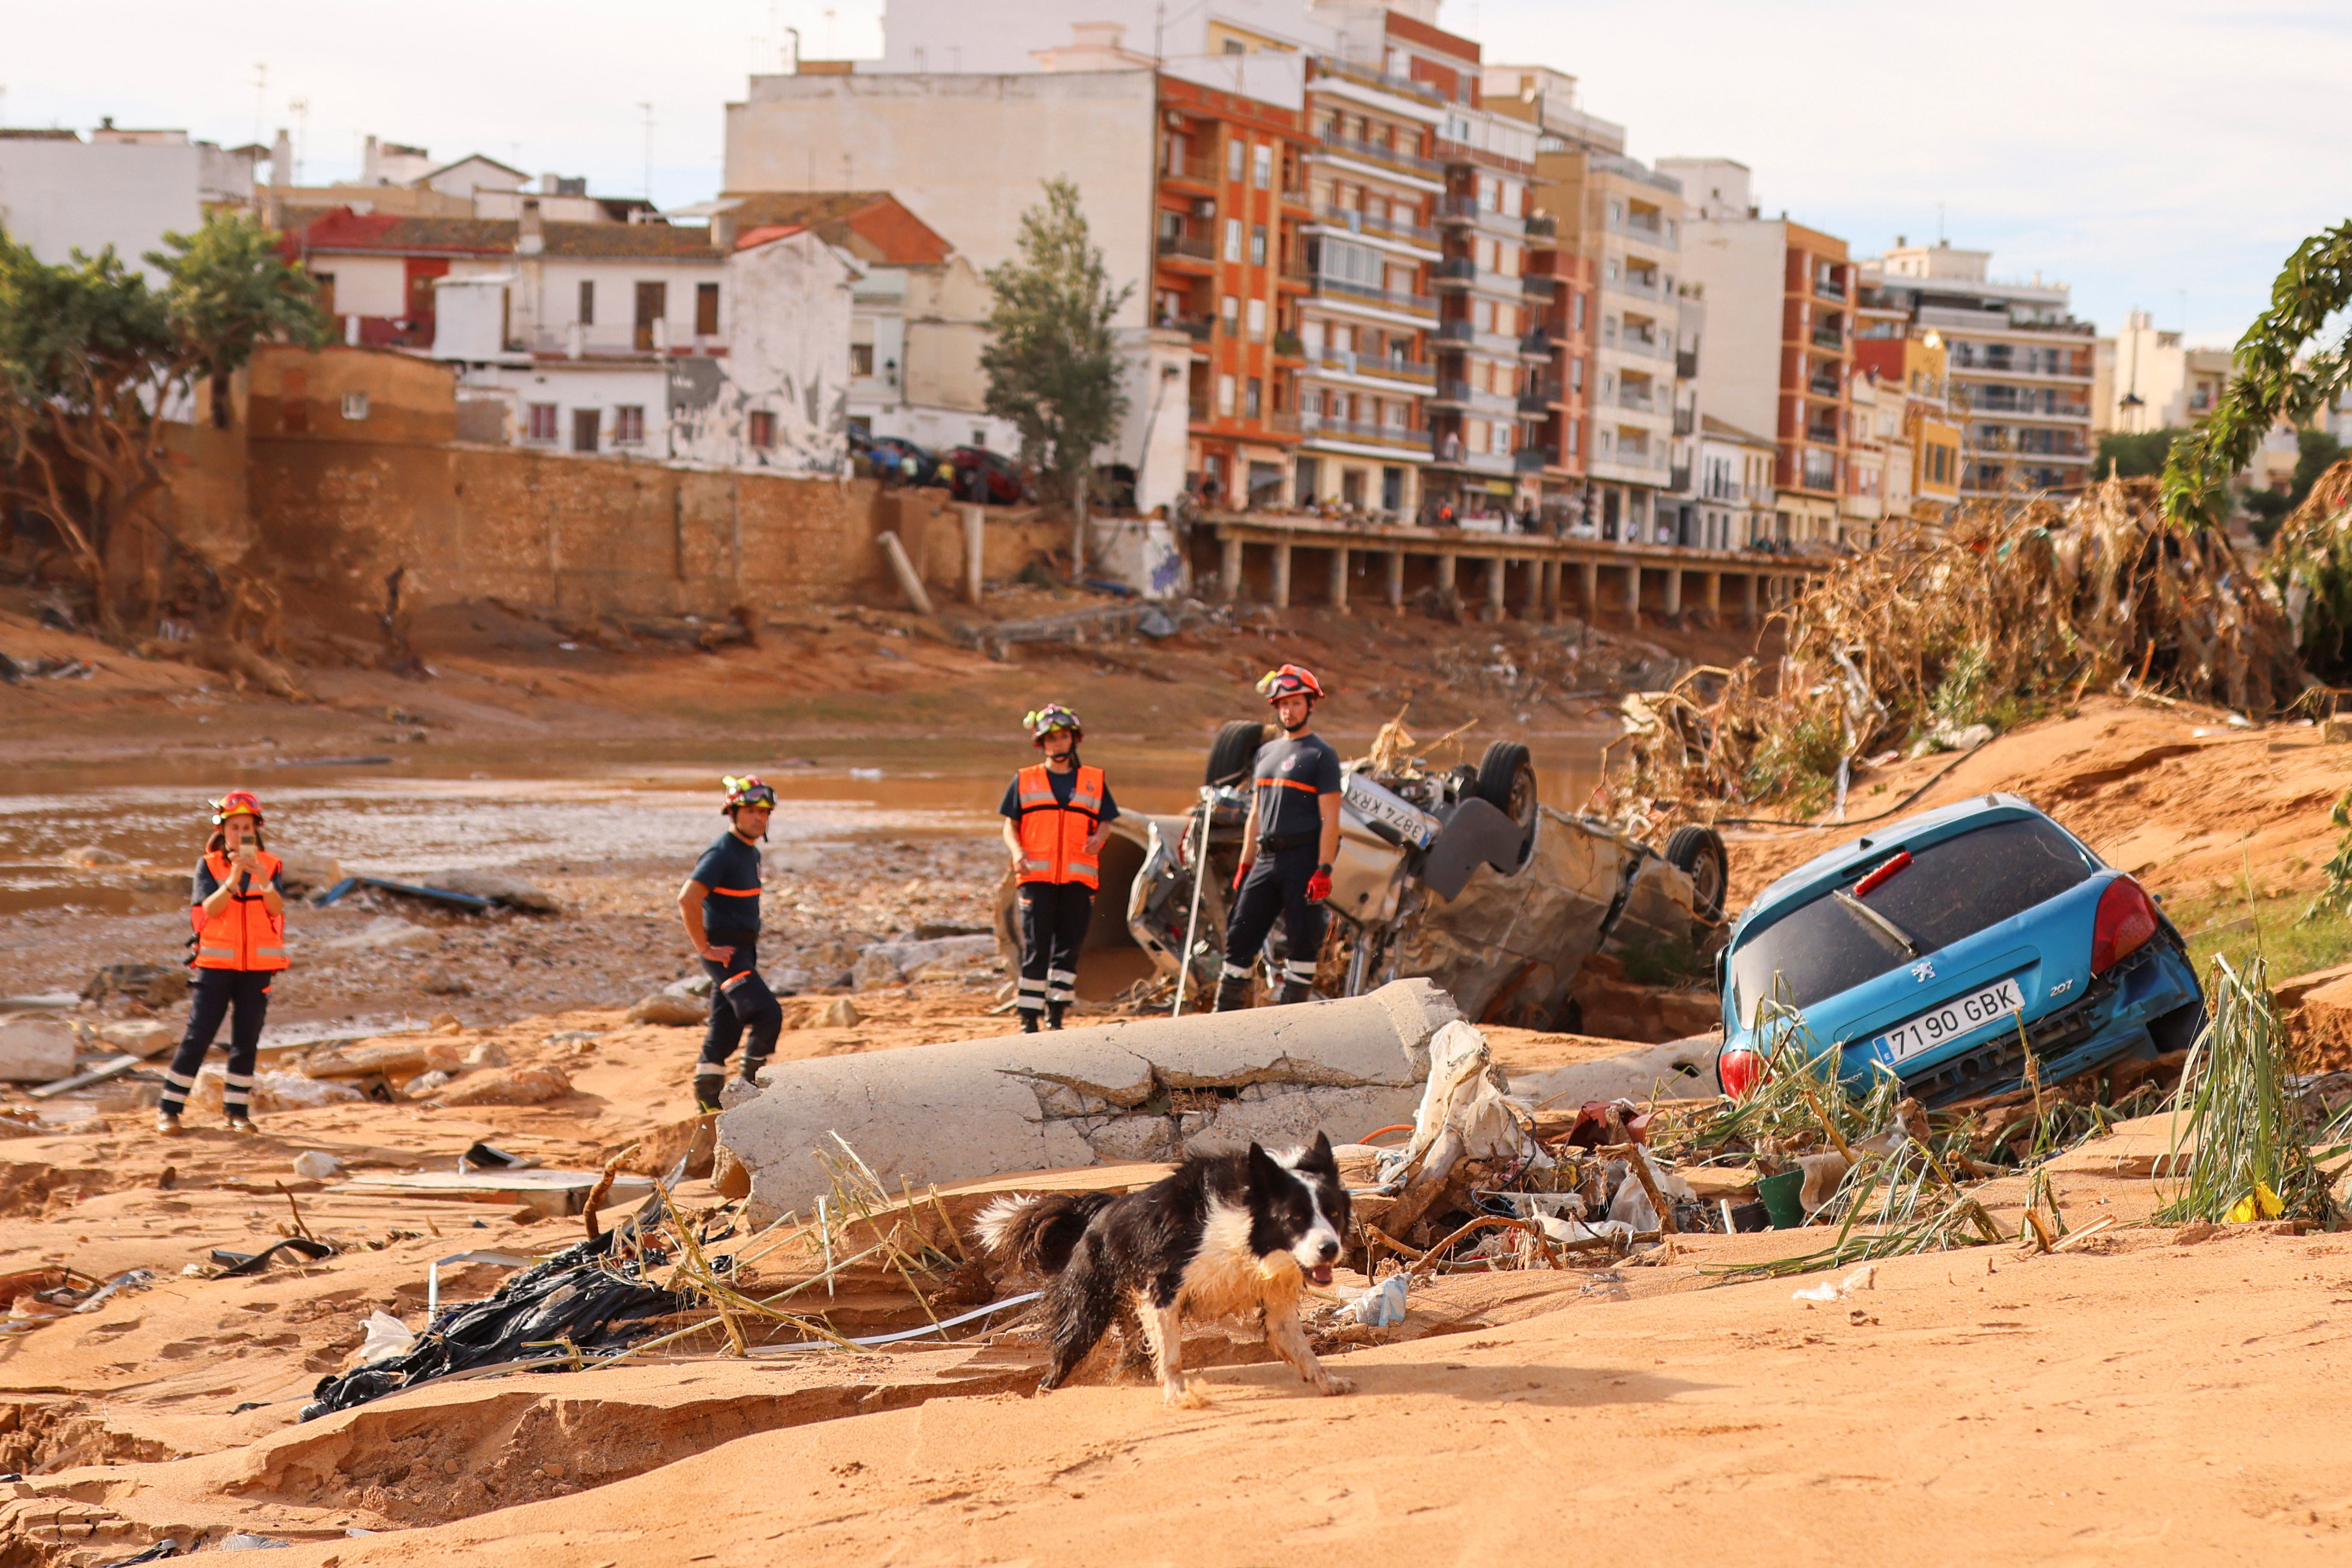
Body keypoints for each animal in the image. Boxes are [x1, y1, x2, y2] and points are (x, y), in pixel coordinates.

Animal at [964, 1128, 1355, 1410]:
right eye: (1295, 1218)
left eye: (1334, 1213)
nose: (1330, 1249)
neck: (1244, 1225)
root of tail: (1099, 1210)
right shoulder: (1161, 1287)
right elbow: (1171, 1354)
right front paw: (1181, 1396)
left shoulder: (1277, 1296)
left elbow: (1300, 1345)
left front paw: (1328, 1380)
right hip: (1087, 1313)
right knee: (1065, 1357)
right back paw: (1046, 1393)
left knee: (1129, 1356)